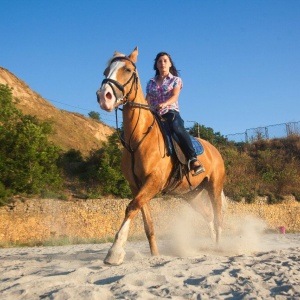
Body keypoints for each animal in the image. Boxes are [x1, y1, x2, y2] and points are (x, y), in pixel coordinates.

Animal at [96, 47, 225, 264]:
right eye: (106, 71)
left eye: (128, 70)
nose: (104, 96)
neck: (138, 139)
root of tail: (215, 151)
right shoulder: (137, 186)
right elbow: (146, 222)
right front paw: (155, 254)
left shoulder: (154, 182)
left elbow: (131, 207)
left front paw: (114, 252)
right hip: (191, 195)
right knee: (208, 215)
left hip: (214, 188)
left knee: (217, 218)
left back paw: (219, 247)